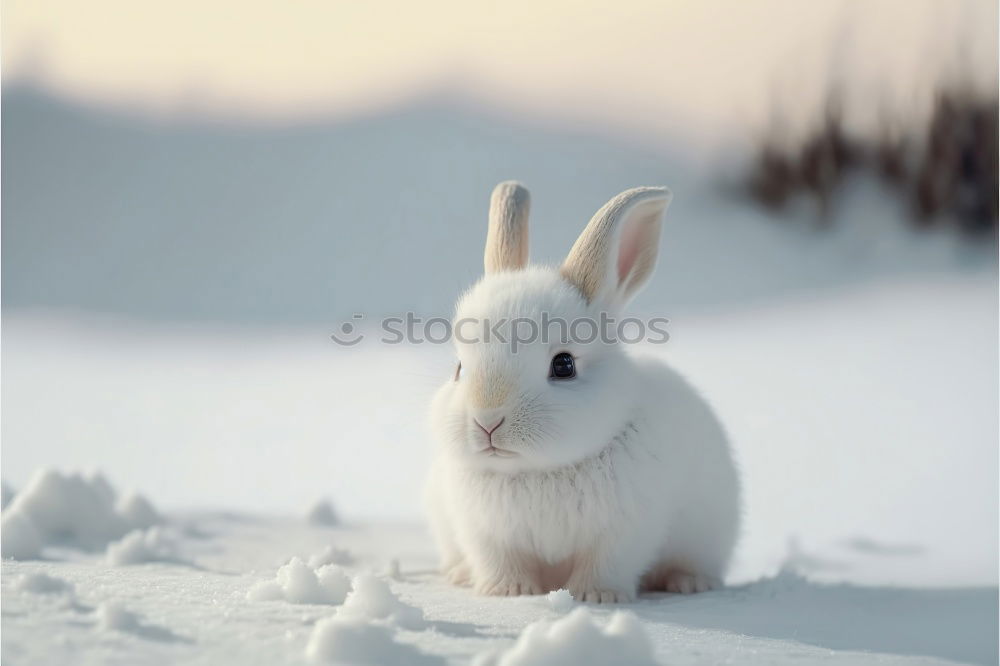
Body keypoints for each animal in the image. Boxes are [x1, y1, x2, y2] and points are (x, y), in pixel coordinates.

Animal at [426, 182, 740, 600]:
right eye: (459, 369)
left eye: (564, 365)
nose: (486, 421)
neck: (537, 470)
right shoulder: (485, 533)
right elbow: (502, 561)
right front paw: (510, 592)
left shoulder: (625, 531)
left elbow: (604, 564)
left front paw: (594, 596)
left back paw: (690, 583)